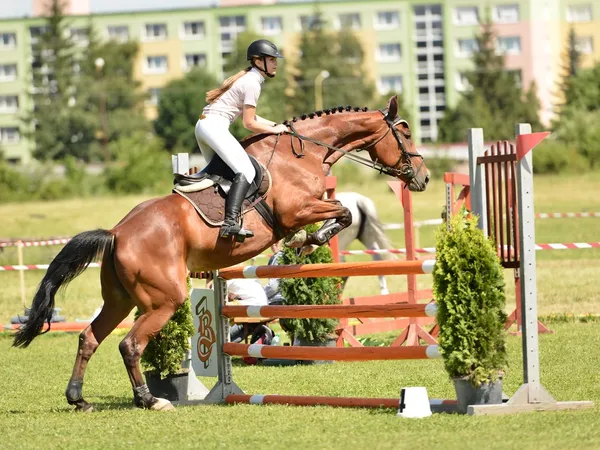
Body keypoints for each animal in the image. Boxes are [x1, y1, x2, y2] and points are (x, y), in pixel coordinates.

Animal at [12, 95, 426, 412]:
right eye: (405, 131)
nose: (422, 177)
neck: (301, 154)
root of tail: (116, 233)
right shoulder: (297, 210)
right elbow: (341, 212)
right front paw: (308, 241)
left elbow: (341, 211)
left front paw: (305, 242)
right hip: (163, 299)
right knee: (130, 345)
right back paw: (151, 400)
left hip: (120, 299)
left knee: (89, 338)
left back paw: (78, 399)